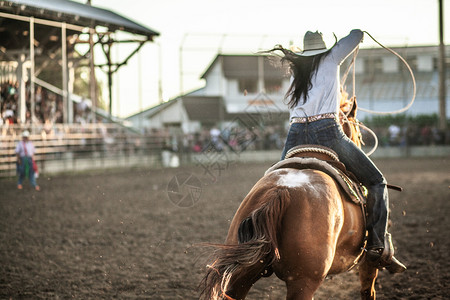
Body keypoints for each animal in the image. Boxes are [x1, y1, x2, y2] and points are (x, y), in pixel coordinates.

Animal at [200, 97, 384, 298]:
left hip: (241, 275)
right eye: (358, 132)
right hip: (303, 281)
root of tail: (281, 191)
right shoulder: (368, 262)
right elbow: (368, 289)